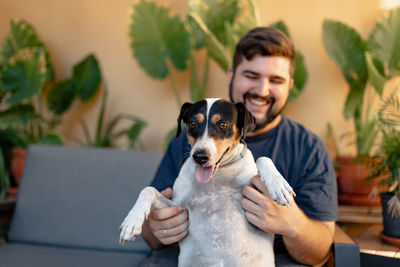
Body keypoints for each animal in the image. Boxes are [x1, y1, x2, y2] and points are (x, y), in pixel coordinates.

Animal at [119, 99, 294, 267]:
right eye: (192, 124)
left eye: (222, 124)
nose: (200, 157)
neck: (218, 176)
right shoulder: (178, 207)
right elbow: (149, 190)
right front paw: (131, 222)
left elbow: (263, 158)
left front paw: (278, 185)